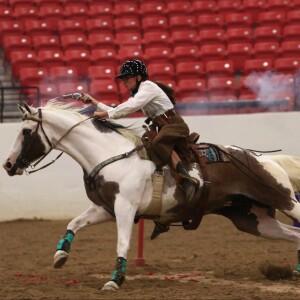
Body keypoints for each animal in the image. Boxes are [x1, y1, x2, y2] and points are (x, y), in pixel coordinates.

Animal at [2, 101, 300, 290]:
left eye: (26, 132)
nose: (8, 164)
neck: (109, 153)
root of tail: (266, 159)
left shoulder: (125, 208)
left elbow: (122, 243)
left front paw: (115, 280)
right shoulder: (107, 209)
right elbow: (74, 223)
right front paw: (60, 255)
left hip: (285, 200)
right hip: (253, 220)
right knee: (294, 234)